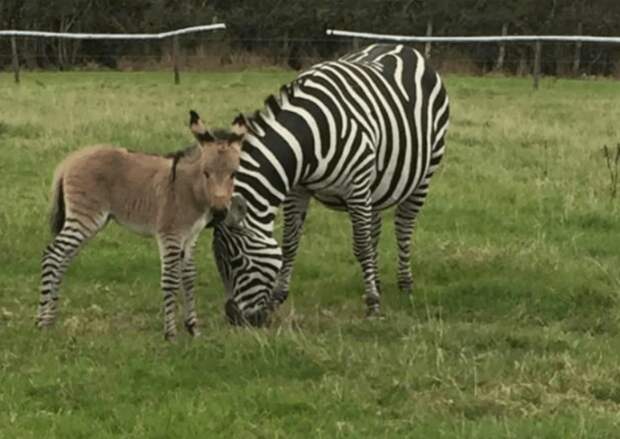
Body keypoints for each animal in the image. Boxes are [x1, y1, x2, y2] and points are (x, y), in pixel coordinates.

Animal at [36, 111, 247, 342]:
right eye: (206, 173)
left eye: (233, 174)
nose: (219, 213)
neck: (191, 190)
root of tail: (71, 159)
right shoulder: (170, 234)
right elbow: (171, 279)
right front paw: (171, 334)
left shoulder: (191, 236)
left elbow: (190, 277)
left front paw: (193, 329)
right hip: (85, 218)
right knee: (53, 254)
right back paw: (42, 322)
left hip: (90, 222)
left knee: (63, 258)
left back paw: (51, 319)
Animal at [214, 44, 450, 326]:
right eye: (219, 263)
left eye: (238, 261)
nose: (235, 320)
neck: (307, 139)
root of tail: (402, 46)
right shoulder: (298, 189)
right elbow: (290, 244)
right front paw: (277, 298)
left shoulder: (356, 187)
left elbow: (361, 245)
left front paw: (373, 305)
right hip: (376, 183)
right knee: (376, 227)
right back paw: (378, 282)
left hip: (423, 174)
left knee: (403, 227)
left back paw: (405, 285)